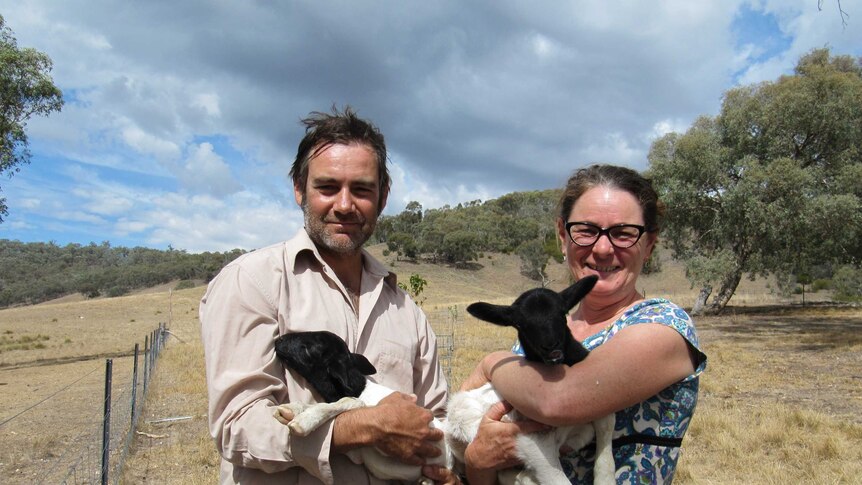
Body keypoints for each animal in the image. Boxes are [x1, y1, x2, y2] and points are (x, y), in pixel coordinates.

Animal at [276, 328, 452, 484]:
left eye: (309, 347)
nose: (279, 340)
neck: (360, 389)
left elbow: (349, 401)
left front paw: (304, 421)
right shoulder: (356, 451)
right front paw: (292, 409)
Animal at [446, 274, 620, 482]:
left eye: (563, 312)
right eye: (520, 324)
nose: (551, 346)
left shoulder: (592, 418)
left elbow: (606, 437)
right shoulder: (531, 440)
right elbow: (558, 480)